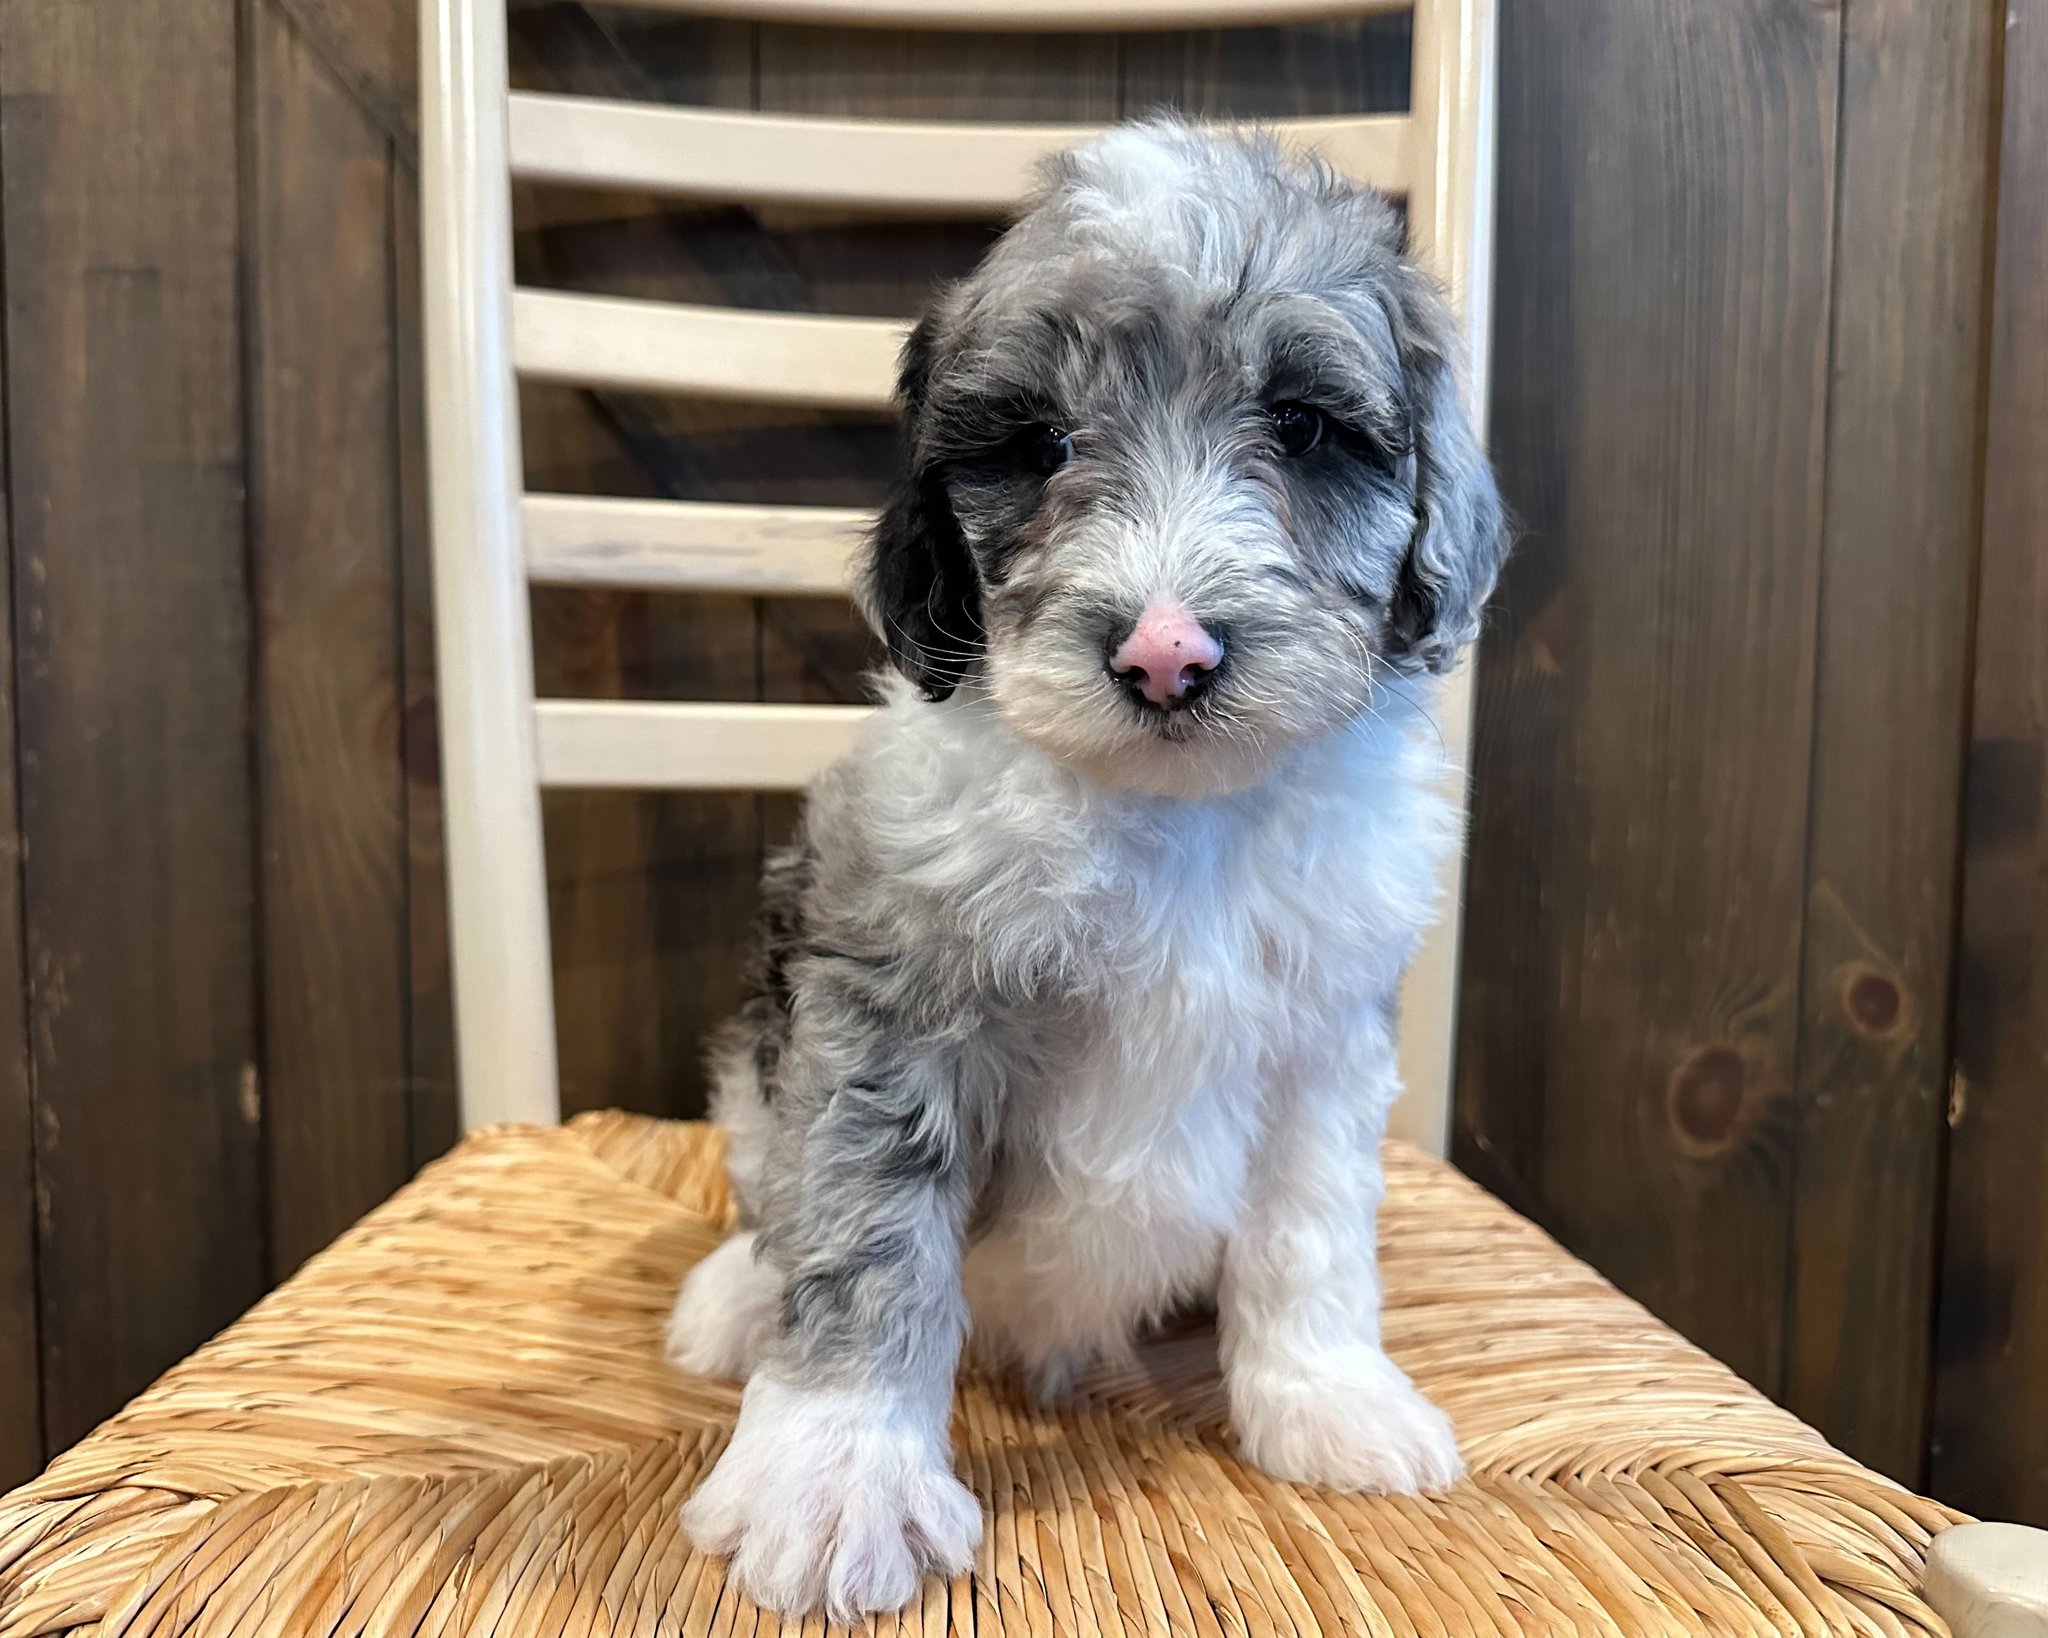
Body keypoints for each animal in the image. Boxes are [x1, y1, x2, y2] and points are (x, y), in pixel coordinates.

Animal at [667, 121, 1507, 1621]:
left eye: (1301, 425)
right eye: (1041, 441)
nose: (1166, 652)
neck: (1176, 817)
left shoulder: (1325, 1035)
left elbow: (1309, 1232)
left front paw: (1325, 1400)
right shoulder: (884, 1005)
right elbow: (862, 1235)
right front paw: (838, 1480)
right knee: (770, 1190)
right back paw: (730, 1300)